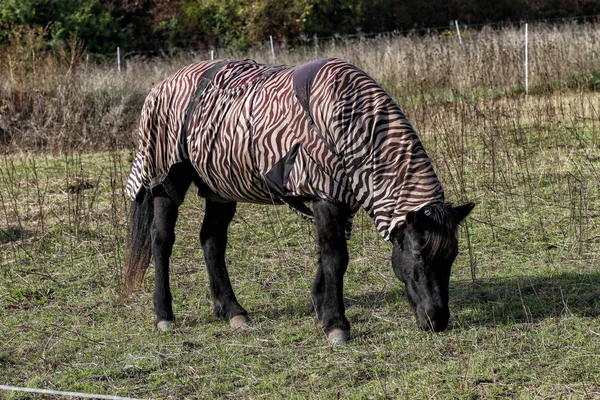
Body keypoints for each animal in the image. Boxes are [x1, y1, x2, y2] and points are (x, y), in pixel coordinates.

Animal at [124, 58, 476, 344]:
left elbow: (327, 254)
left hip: (219, 187)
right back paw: (164, 316)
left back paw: (232, 311)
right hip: (167, 181)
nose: (437, 320)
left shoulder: (338, 199)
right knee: (161, 240)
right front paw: (336, 324)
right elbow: (336, 257)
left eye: (453, 256)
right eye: (418, 255)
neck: (346, 121)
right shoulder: (324, 195)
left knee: (212, 240)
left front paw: (320, 305)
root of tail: (160, 87)